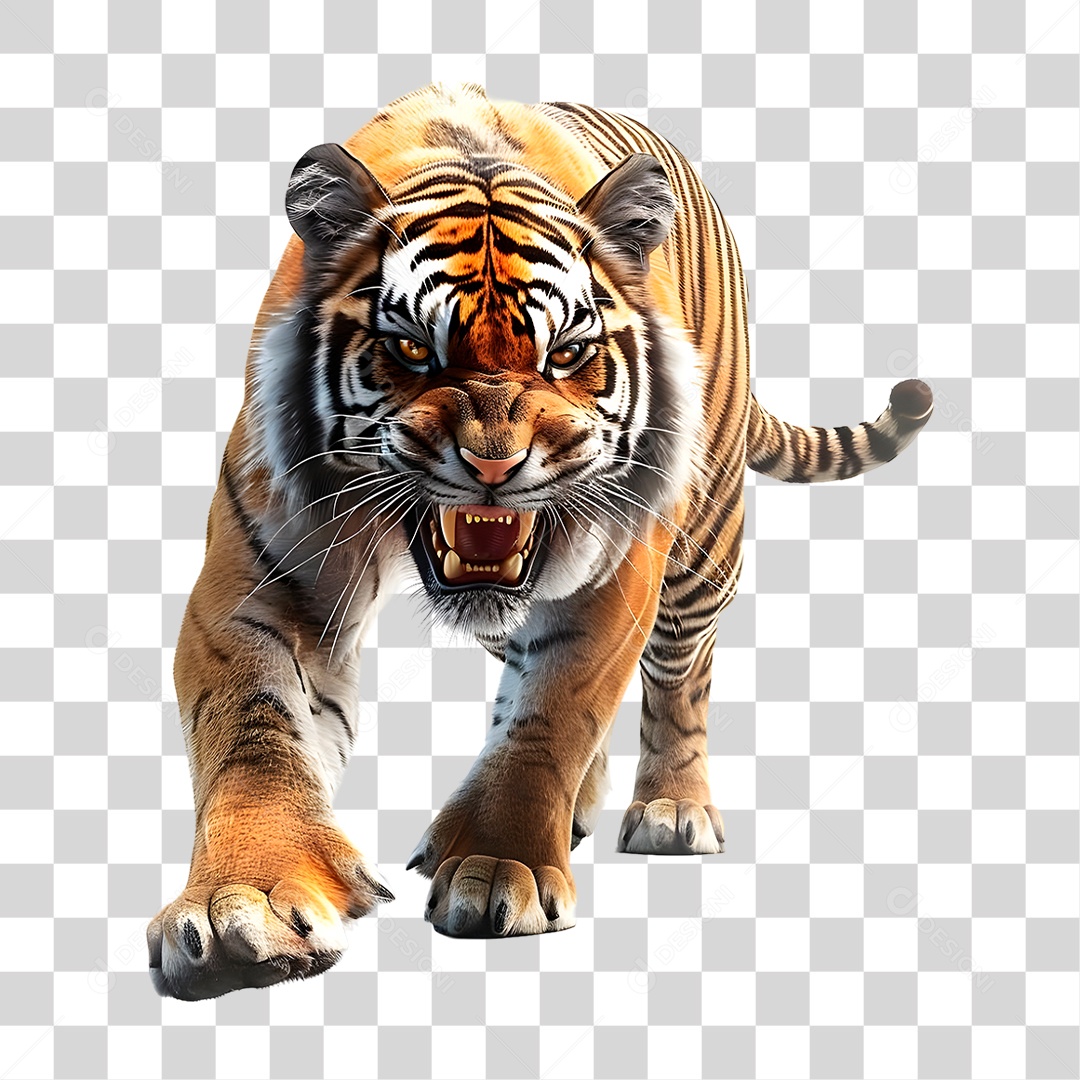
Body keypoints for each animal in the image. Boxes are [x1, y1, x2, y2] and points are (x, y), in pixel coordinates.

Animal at [148, 83, 932, 999]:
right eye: (410, 348)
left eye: (567, 354)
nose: (494, 461)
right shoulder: (263, 584)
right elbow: (256, 737)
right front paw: (243, 903)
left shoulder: (616, 573)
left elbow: (553, 715)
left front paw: (501, 866)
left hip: (702, 551)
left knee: (681, 677)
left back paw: (672, 808)